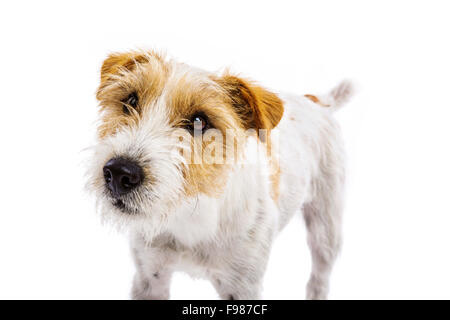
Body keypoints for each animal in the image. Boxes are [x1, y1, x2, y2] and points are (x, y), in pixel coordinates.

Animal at [86, 50, 354, 300]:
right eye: (131, 100)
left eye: (199, 121)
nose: (119, 173)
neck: (189, 214)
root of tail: (318, 102)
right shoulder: (149, 276)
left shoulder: (243, 288)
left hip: (326, 230)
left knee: (320, 278)